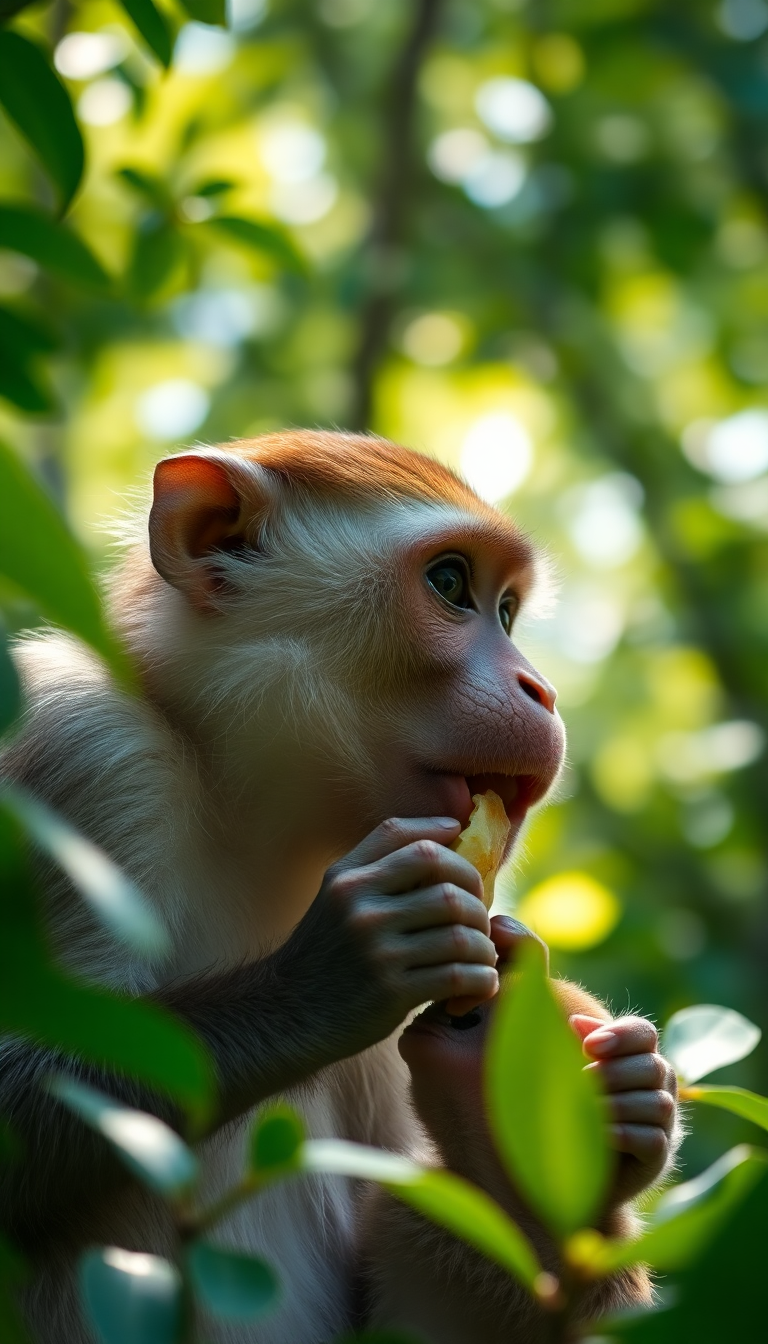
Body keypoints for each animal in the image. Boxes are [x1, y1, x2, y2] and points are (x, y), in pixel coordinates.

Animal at [0, 432, 599, 1344]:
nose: (544, 691)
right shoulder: (80, 753)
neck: (238, 802)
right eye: (450, 584)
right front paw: (338, 970)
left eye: (505, 612)